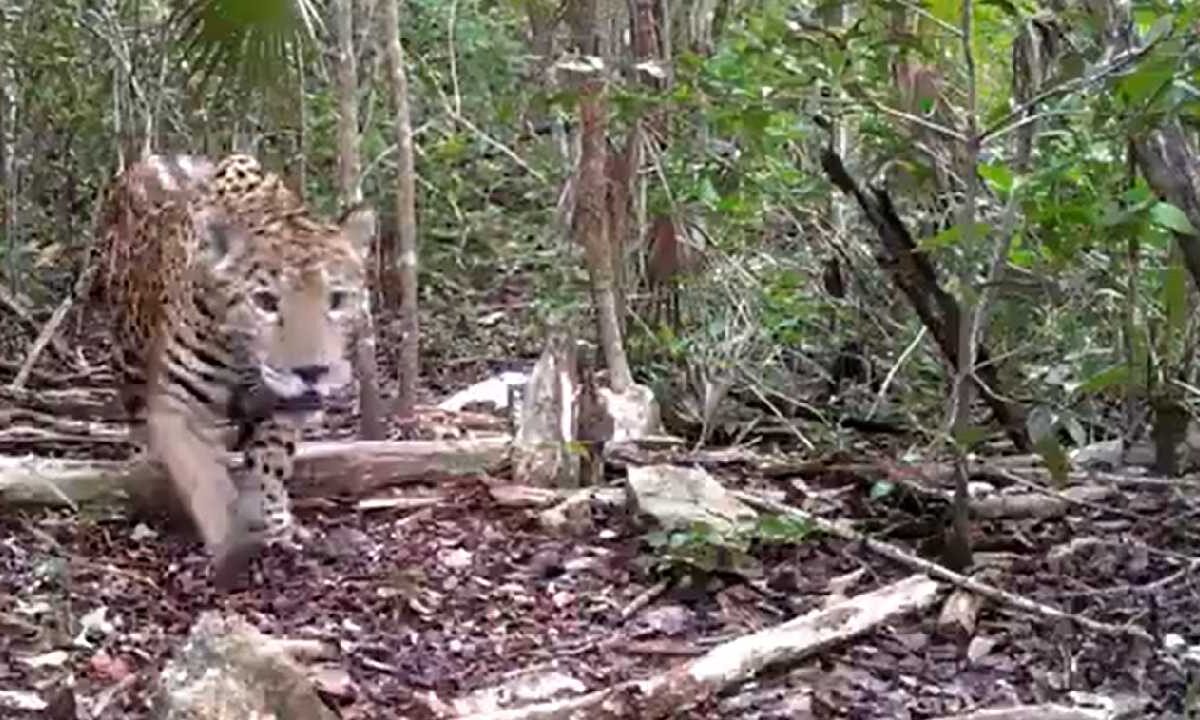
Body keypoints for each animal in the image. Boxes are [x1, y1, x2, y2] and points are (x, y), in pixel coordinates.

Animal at [82, 153, 376, 586]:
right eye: (265, 301)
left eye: (337, 300)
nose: (312, 371)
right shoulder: (179, 406)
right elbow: (206, 478)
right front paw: (231, 545)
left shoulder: (282, 407)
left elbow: (271, 464)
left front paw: (275, 523)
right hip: (127, 347)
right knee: (135, 415)